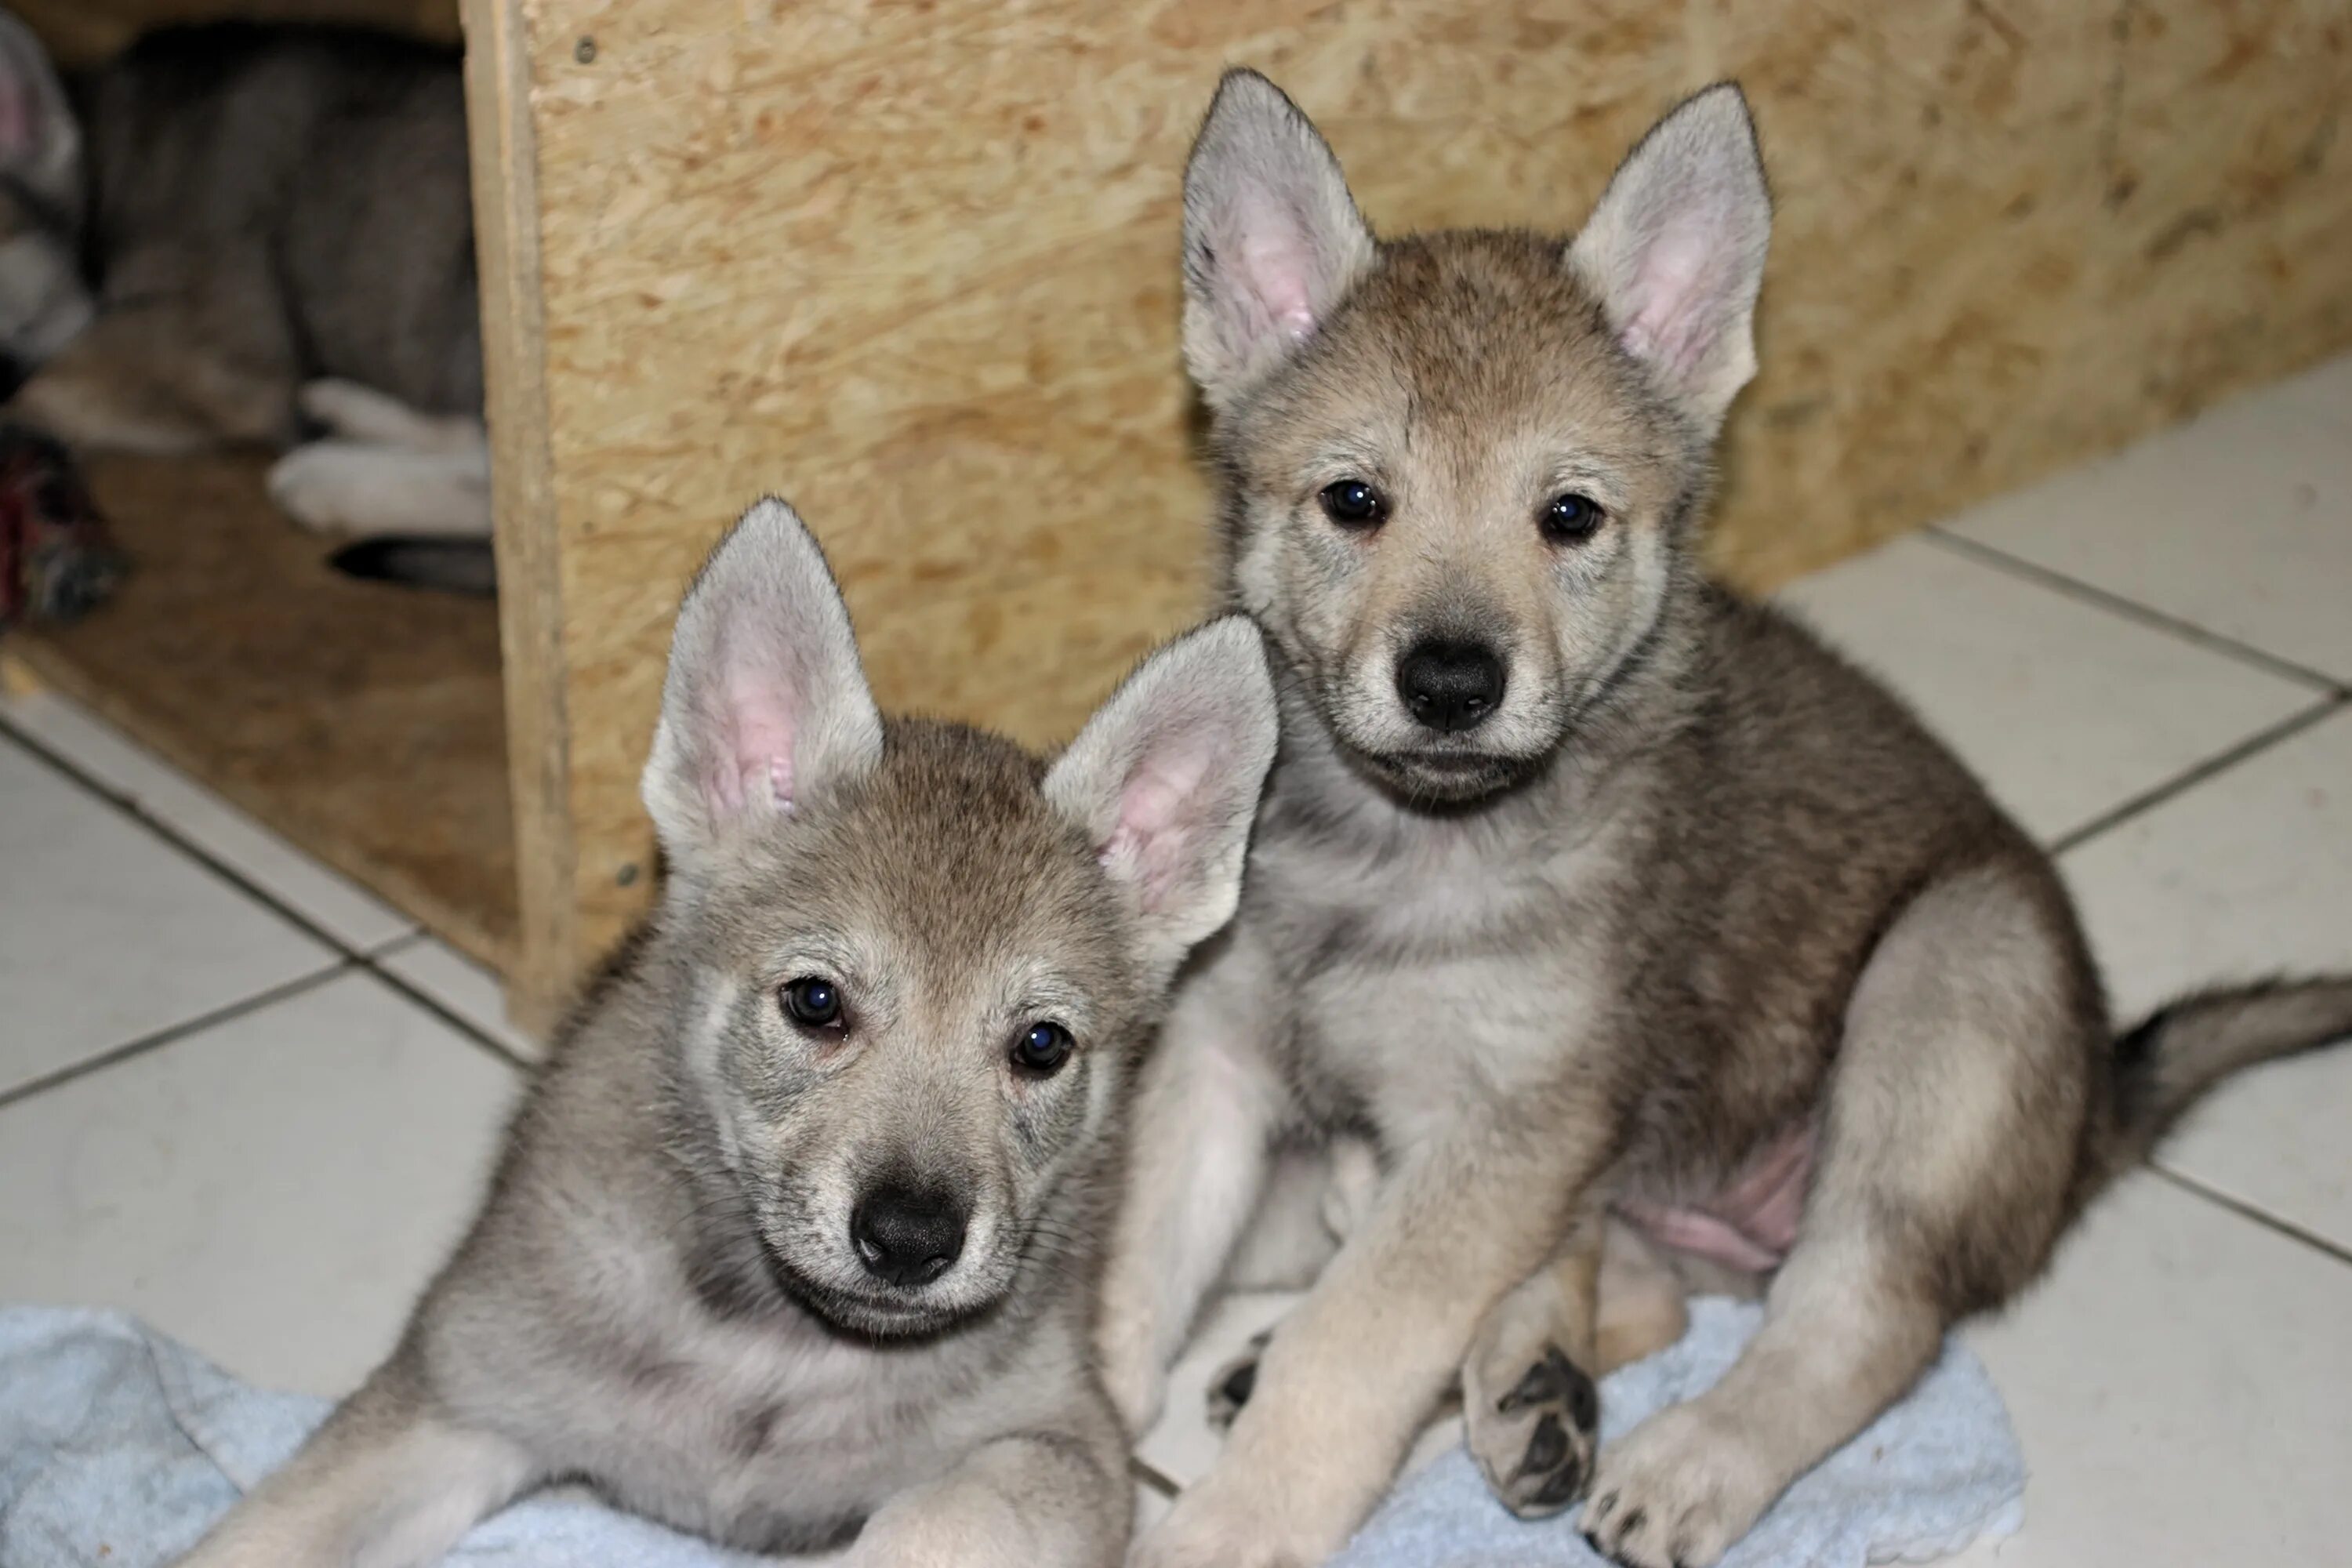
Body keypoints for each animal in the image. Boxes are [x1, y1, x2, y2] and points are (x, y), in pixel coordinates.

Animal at [174, 495, 1279, 1561]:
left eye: (1041, 1045)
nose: (910, 1240)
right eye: (815, 1002)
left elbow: (931, 1520)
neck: (771, 1351)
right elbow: (252, 1538)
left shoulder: (1059, 1443)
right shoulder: (454, 1396)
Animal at [1101, 70, 2352, 1568]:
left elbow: (1349, 1351)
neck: (1401, 845)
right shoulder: (1222, 1061)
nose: (1453, 683)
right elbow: (1132, 1272)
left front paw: (1225, 1526)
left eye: (1569, 516)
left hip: (1949, 985)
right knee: (1637, 1288)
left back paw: (1687, 1455)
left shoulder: (1504, 1133)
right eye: (1355, 501)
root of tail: (2097, 1105)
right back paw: (1531, 1390)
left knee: (1860, 1322)